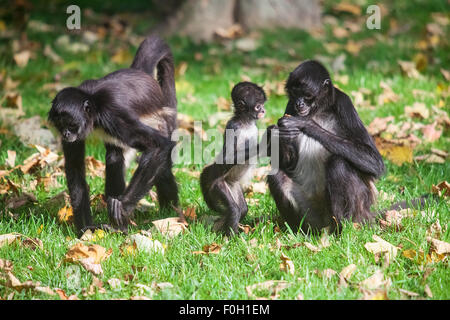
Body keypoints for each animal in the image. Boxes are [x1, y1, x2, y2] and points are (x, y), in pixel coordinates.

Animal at [47, 35, 178, 236]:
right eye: (61, 126)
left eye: (71, 125)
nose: (67, 133)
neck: (93, 101)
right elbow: (75, 168)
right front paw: (85, 231)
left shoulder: (112, 115)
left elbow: (159, 146)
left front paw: (122, 209)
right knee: (114, 157)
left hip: (161, 120)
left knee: (161, 165)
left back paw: (168, 213)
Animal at [200, 82, 268, 235]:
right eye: (257, 106)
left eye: (262, 104)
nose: (263, 110)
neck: (246, 123)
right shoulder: (233, 126)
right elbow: (227, 159)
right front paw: (265, 142)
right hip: (220, 185)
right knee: (235, 210)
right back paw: (230, 237)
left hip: (233, 185)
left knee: (242, 209)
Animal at [266, 60, 384, 234]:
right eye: (294, 95)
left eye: (307, 95)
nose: (299, 103)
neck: (317, 111)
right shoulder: (290, 106)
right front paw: (274, 133)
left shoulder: (344, 102)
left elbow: (375, 163)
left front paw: (306, 124)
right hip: (311, 214)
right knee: (276, 176)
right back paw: (300, 231)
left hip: (359, 211)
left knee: (338, 164)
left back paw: (342, 230)